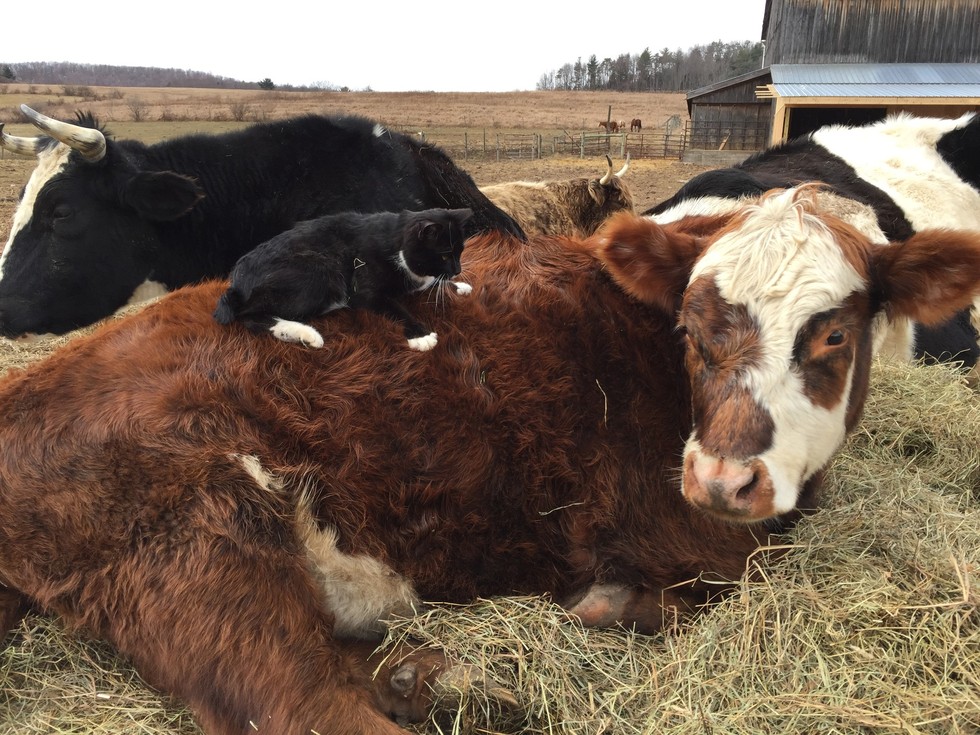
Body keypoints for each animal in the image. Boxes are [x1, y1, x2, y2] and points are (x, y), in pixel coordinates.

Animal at [214, 207, 474, 350]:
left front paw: (459, 286)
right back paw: (304, 333)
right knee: (248, 315)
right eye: (444, 255)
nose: (457, 269)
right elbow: (394, 307)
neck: (397, 243)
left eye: (460, 251)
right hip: (319, 268)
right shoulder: (365, 289)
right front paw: (421, 335)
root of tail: (237, 282)